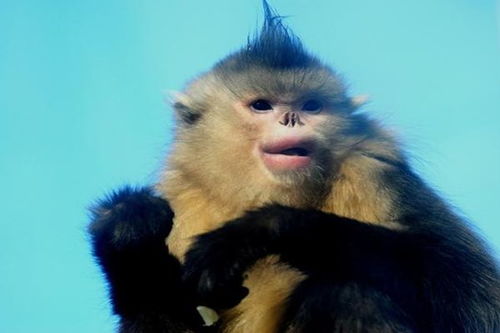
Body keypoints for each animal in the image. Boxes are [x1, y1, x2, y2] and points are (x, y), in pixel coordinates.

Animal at [89, 1, 500, 330]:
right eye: (261, 105)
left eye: (311, 106)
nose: (291, 118)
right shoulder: (182, 196)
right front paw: (127, 229)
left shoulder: (374, 170)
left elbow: (471, 299)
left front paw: (259, 230)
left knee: (349, 291)